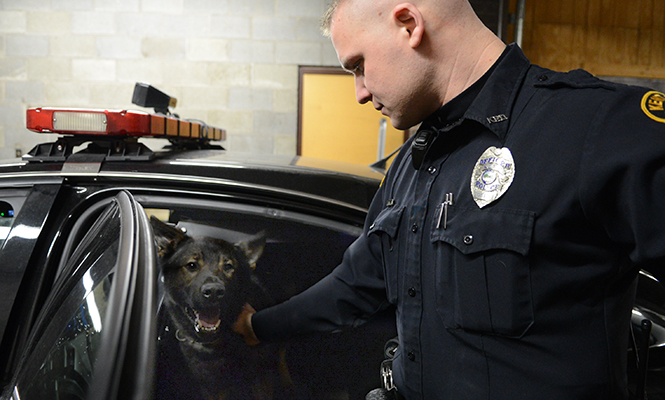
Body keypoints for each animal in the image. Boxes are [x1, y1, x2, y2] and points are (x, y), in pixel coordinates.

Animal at [152, 217, 290, 400]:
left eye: (228, 266)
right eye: (191, 265)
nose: (214, 292)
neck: (217, 343)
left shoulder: (262, 378)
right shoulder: (212, 387)